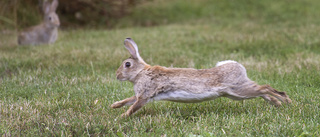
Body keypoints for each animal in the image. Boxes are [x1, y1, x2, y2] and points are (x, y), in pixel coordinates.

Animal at [110, 38, 292, 117]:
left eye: (127, 64)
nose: (117, 75)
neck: (141, 72)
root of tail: (237, 66)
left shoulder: (144, 95)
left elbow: (133, 107)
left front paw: (121, 118)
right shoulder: (140, 95)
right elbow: (128, 100)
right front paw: (114, 106)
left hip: (239, 89)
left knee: (265, 88)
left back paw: (286, 101)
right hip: (236, 93)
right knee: (262, 91)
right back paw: (277, 104)